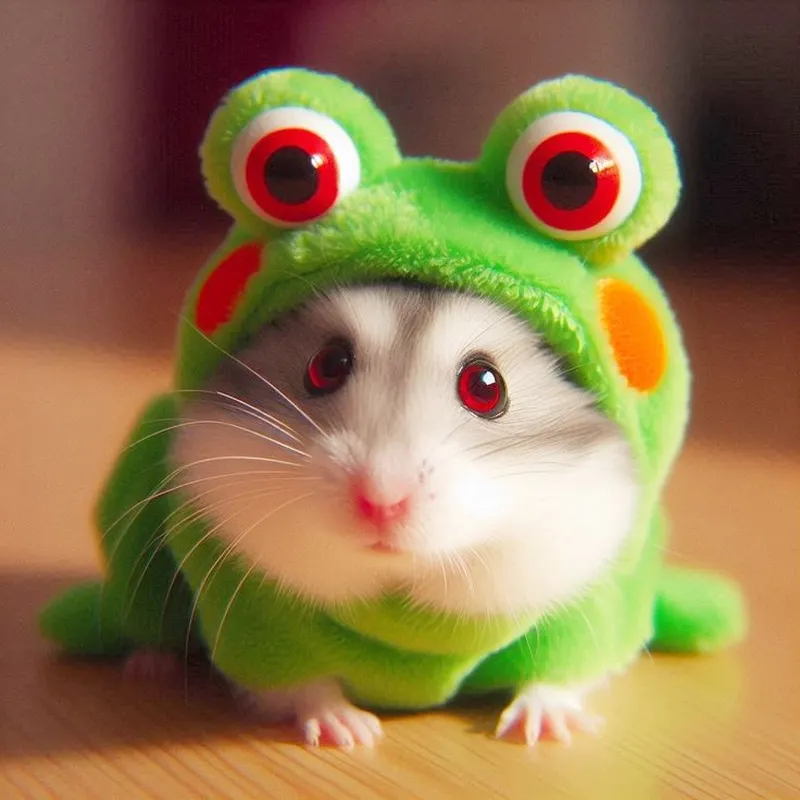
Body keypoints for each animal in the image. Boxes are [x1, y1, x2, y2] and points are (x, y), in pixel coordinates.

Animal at [170, 282, 639, 744]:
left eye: (485, 386)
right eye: (327, 365)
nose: (381, 501)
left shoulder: (576, 617)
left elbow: (558, 675)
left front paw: (541, 731)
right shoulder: (260, 630)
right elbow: (304, 685)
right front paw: (352, 732)